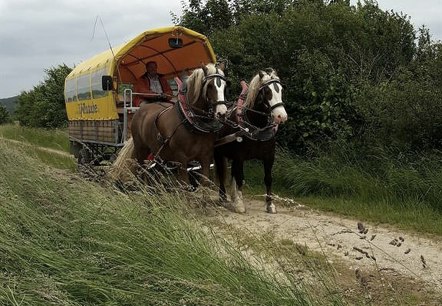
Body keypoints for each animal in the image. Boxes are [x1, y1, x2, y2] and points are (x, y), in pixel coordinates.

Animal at [216, 68, 288, 213]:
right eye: (267, 91)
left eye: (281, 90)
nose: (281, 116)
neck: (256, 128)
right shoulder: (240, 157)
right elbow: (240, 178)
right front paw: (240, 204)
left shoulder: (269, 157)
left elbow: (268, 179)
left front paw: (270, 204)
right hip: (217, 153)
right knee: (221, 173)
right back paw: (223, 197)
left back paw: (233, 196)